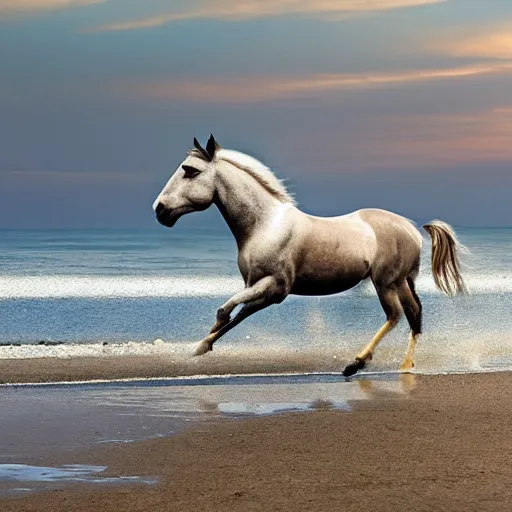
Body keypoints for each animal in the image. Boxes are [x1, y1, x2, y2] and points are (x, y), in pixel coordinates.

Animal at [150, 136, 466, 376]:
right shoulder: (260, 289)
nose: (159, 210)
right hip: (402, 281)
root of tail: (412, 228)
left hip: (385, 282)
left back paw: (355, 364)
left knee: (396, 315)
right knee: (415, 314)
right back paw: (404, 366)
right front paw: (201, 347)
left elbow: (225, 310)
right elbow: (238, 315)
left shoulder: (275, 286)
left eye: (190, 170)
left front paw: (205, 340)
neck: (266, 225)